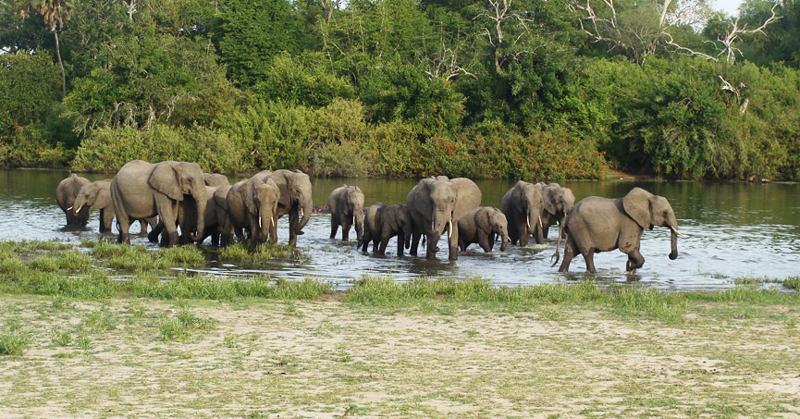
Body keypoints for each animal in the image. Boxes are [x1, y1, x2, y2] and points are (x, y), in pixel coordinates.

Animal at [552, 188, 684, 274]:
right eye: (665, 213)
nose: (670, 255)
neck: (649, 196)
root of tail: (569, 215)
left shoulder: (636, 224)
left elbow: (634, 248)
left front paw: (630, 268)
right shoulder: (629, 223)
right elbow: (626, 247)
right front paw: (630, 267)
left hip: (574, 229)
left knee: (570, 251)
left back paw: (562, 272)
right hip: (580, 227)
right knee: (587, 252)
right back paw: (593, 273)